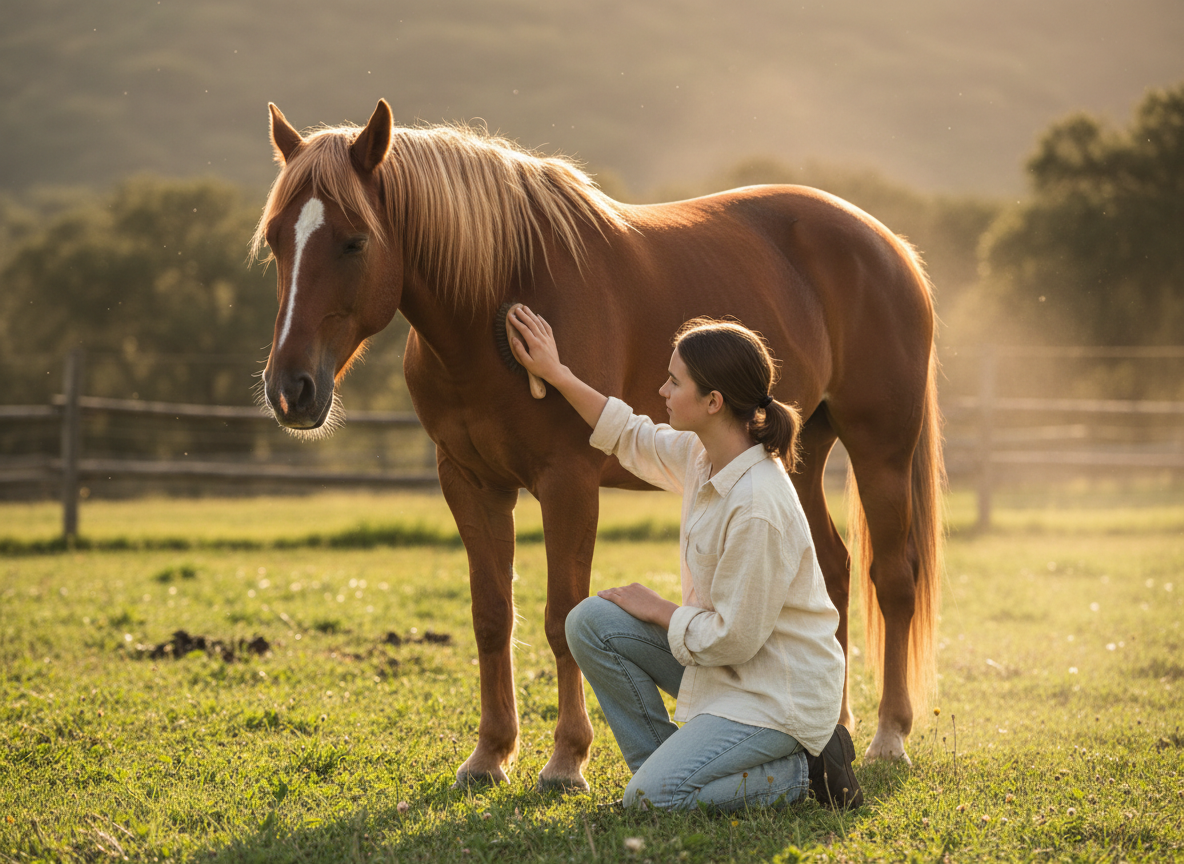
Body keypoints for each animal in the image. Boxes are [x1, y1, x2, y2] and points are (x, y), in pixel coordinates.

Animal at [254, 99, 944, 790]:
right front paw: (490, 754)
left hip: (880, 451)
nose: (291, 389)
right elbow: (491, 616)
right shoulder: (471, 483)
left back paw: (889, 737)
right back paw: (837, 724)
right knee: (831, 570)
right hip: (797, 458)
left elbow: (563, 615)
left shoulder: (568, 483)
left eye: (354, 240)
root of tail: (890, 245)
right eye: (276, 239)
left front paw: (566, 759)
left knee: (892, 578)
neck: (500, 295)